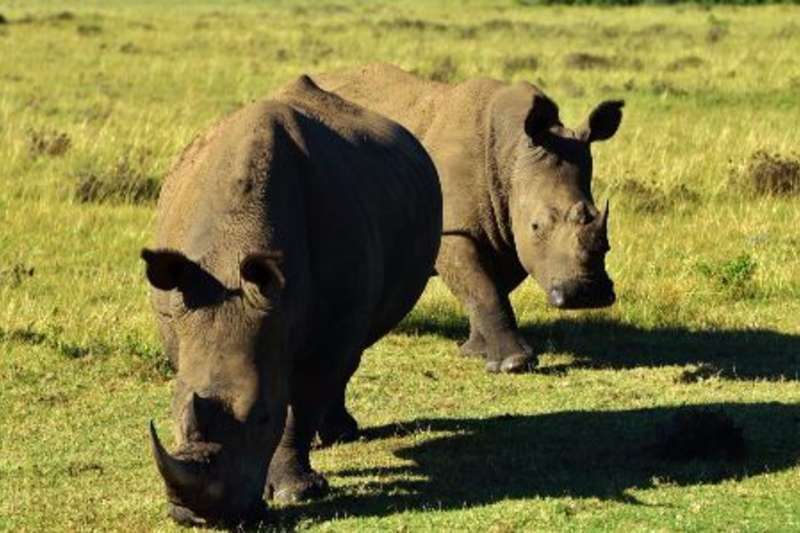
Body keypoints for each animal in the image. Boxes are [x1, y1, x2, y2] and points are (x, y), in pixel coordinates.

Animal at [141, 75, 442, 526]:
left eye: (262, 415)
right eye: (173, 409)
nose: (197, 516)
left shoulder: (330, 322)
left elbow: (301, 402)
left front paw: (294, 491)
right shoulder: (184, 314)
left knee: (348, 356)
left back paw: (337, 435)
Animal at [316, 64, 623, 374]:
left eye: (600, 218)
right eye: (536, 226)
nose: (586, 294)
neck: (512, 152)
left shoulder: (507, 231)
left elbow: (491, 288)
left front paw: (476, 351)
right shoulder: (453, 229)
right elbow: (484, 290)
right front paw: (514, 364)